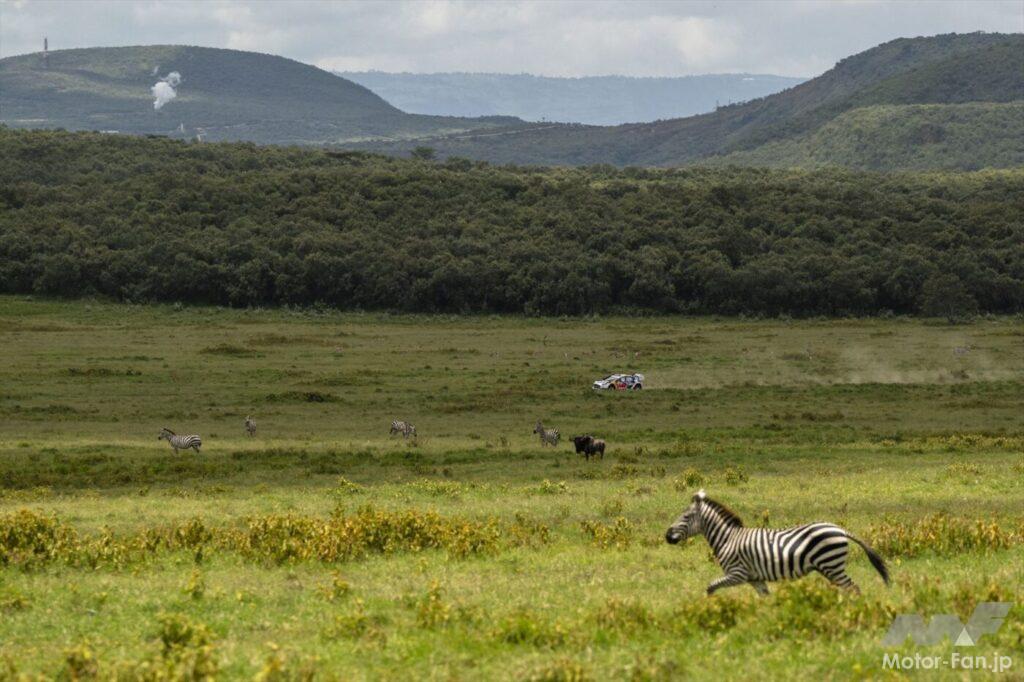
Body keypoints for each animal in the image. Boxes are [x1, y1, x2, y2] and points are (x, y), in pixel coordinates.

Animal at [663, 485, 888, 593]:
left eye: (685, 517)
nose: (667, 536)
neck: (728, 538)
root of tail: (840, 529)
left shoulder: (737, 573)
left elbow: (710, 587)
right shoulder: (755, 578)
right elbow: (765, 599)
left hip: (831, 565)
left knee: (853, 588)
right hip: (830, 567)